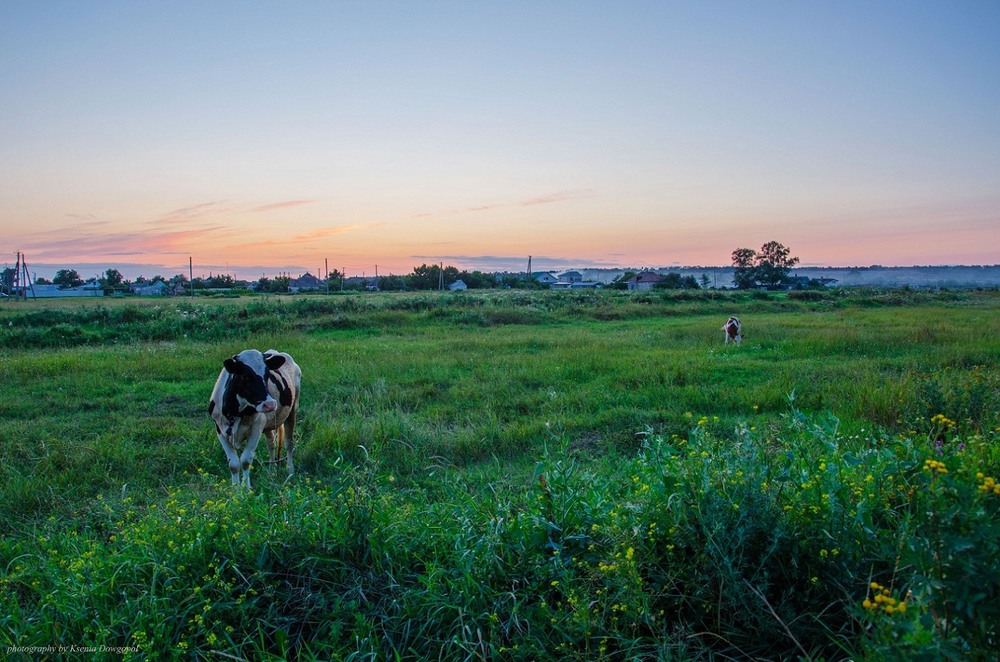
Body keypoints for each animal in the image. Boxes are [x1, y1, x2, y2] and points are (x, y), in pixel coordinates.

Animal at [209, 350, 302, 490]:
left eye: (267, 375)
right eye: (245, 376)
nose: (270, 404)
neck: (235, 411)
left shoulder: (256, 429)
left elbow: (245, 460)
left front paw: (246, 489)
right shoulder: (220, 430)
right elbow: (233, 464)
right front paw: (235, 489)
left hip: (292, 410)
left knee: (289, 444)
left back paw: (290, 472)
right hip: (268, 424)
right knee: (271, 443)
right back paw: (272, 470)